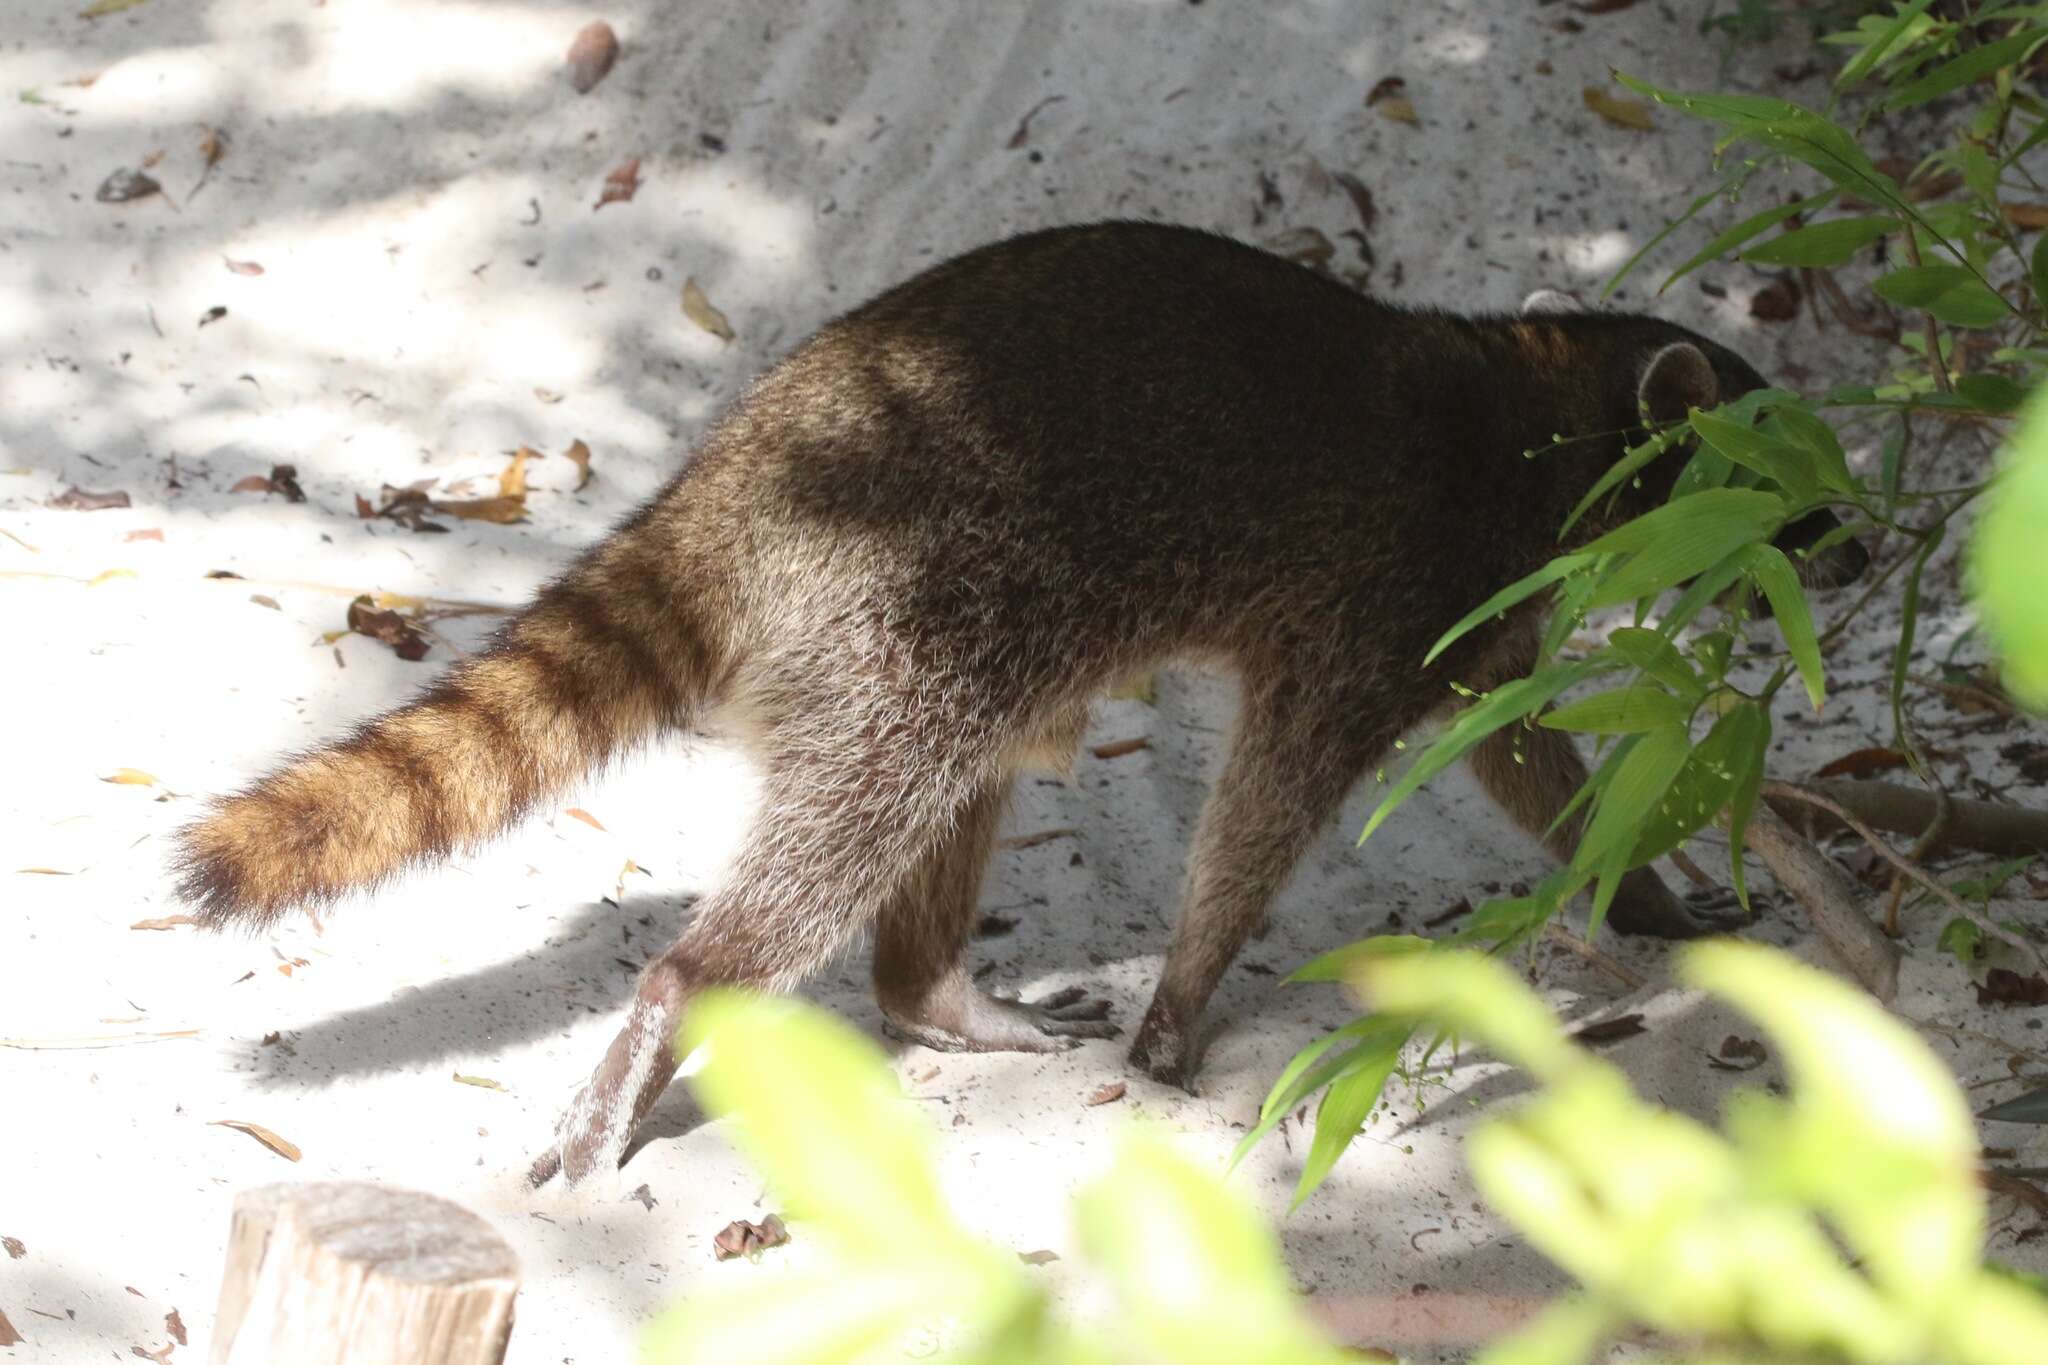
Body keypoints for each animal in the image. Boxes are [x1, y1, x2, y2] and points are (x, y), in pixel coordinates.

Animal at [176, 224, 1875, 1186]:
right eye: (1790, 491)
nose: (1865, 547)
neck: (1551, 398)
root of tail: (734, 476)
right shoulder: (1393, 584)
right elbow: (1276, 791)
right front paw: (1185, 998)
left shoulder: (1477, 608)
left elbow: (1525, 755)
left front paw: (1642, 884)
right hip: (904, 602)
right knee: (855, 827)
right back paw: (687, 994)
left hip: (935, 636)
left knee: (943, 792)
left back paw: (932, 989)